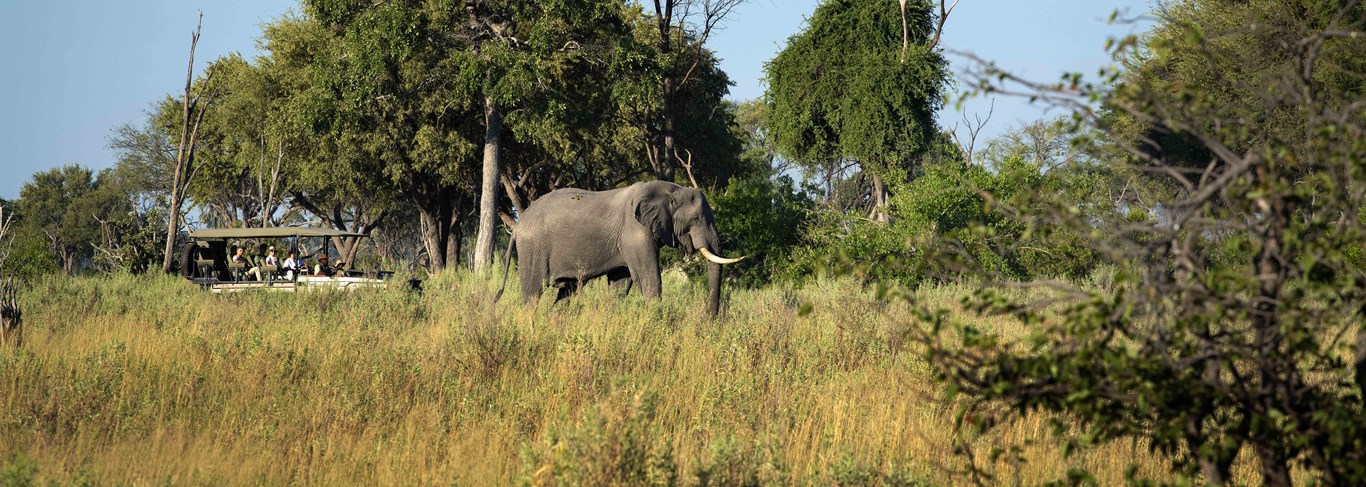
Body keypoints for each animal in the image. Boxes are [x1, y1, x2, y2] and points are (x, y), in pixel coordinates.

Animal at [497, 180, 743, 312]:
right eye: (697, 220)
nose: (710, 319)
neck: (671, 190)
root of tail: (518, 225)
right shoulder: (634, 233)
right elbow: (649, 279)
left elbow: (620, 284)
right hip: (533, 247)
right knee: (532, 293)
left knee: (567, 293)